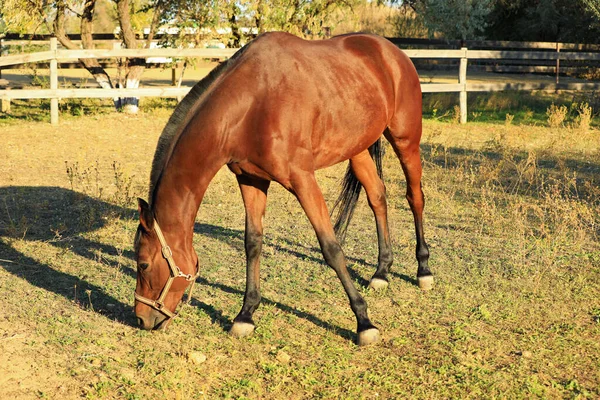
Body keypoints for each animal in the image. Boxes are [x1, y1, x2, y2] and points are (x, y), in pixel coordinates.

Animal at [133, 31, 432, 346]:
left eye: (143, 264)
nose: (141, 319)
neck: (252, 104)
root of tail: (389, 49)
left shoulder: (302, 179)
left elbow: (331, 247)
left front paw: (364, 322)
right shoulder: (251, 179)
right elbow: (252, 243)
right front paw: (245, 314)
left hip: (406, 140)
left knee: (415, 197)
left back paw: (423, 270)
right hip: (358, 149)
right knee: (377, 197)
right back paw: (382, 271)